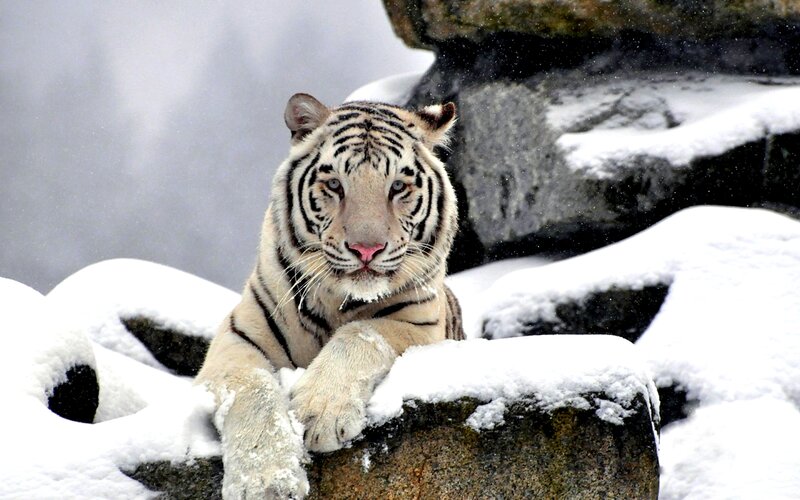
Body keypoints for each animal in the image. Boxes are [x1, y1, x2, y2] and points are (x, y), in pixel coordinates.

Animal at [196, 93, 463, 499]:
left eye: (398, 187)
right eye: (335, 185)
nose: (367, 249)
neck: (338, 300)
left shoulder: (419, 325)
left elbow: (361, 334)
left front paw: (319, 413)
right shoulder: (236, 339)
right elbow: (252, 391)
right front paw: (266, 482)